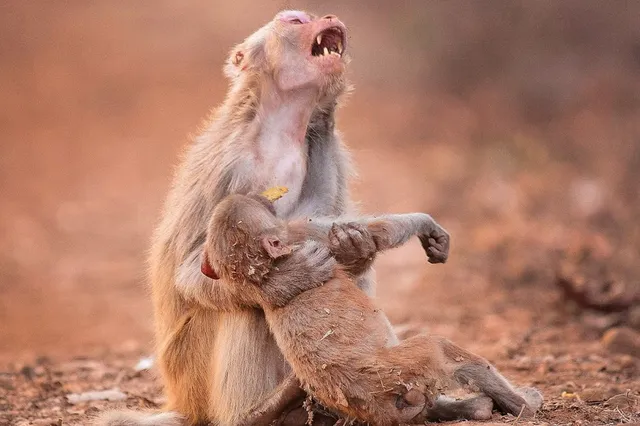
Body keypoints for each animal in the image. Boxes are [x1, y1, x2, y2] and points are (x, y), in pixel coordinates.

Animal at [202, 194, 544, 426]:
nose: (262, 196)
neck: (265, 271)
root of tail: (376, 401)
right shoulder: (301, 235)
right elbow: (378, 231)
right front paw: (425, 223)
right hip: (402, 368)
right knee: (438, 347)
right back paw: (522, 403)